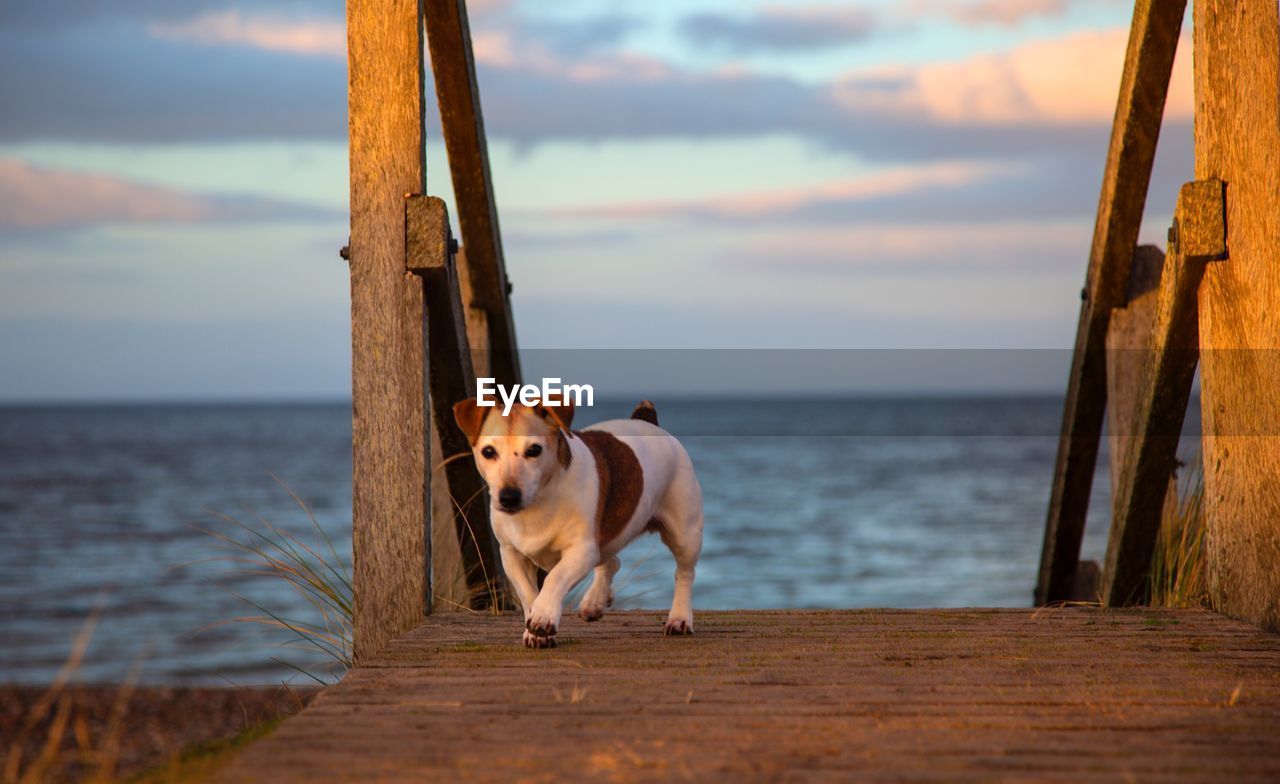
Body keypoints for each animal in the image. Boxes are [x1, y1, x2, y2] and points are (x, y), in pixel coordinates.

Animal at [455, 397, 706, 648]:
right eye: (488, 452)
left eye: (534, 450)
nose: (508, 497)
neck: (539, 502)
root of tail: (646, 420)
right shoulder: (511, 555)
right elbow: (528, 593)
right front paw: (534, 630)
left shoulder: (581, 551)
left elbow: (555, 578)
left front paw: (543, 616)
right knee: (611, 561)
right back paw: (594, 602)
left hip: (684, 533)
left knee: (684, 574)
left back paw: (679, 619)